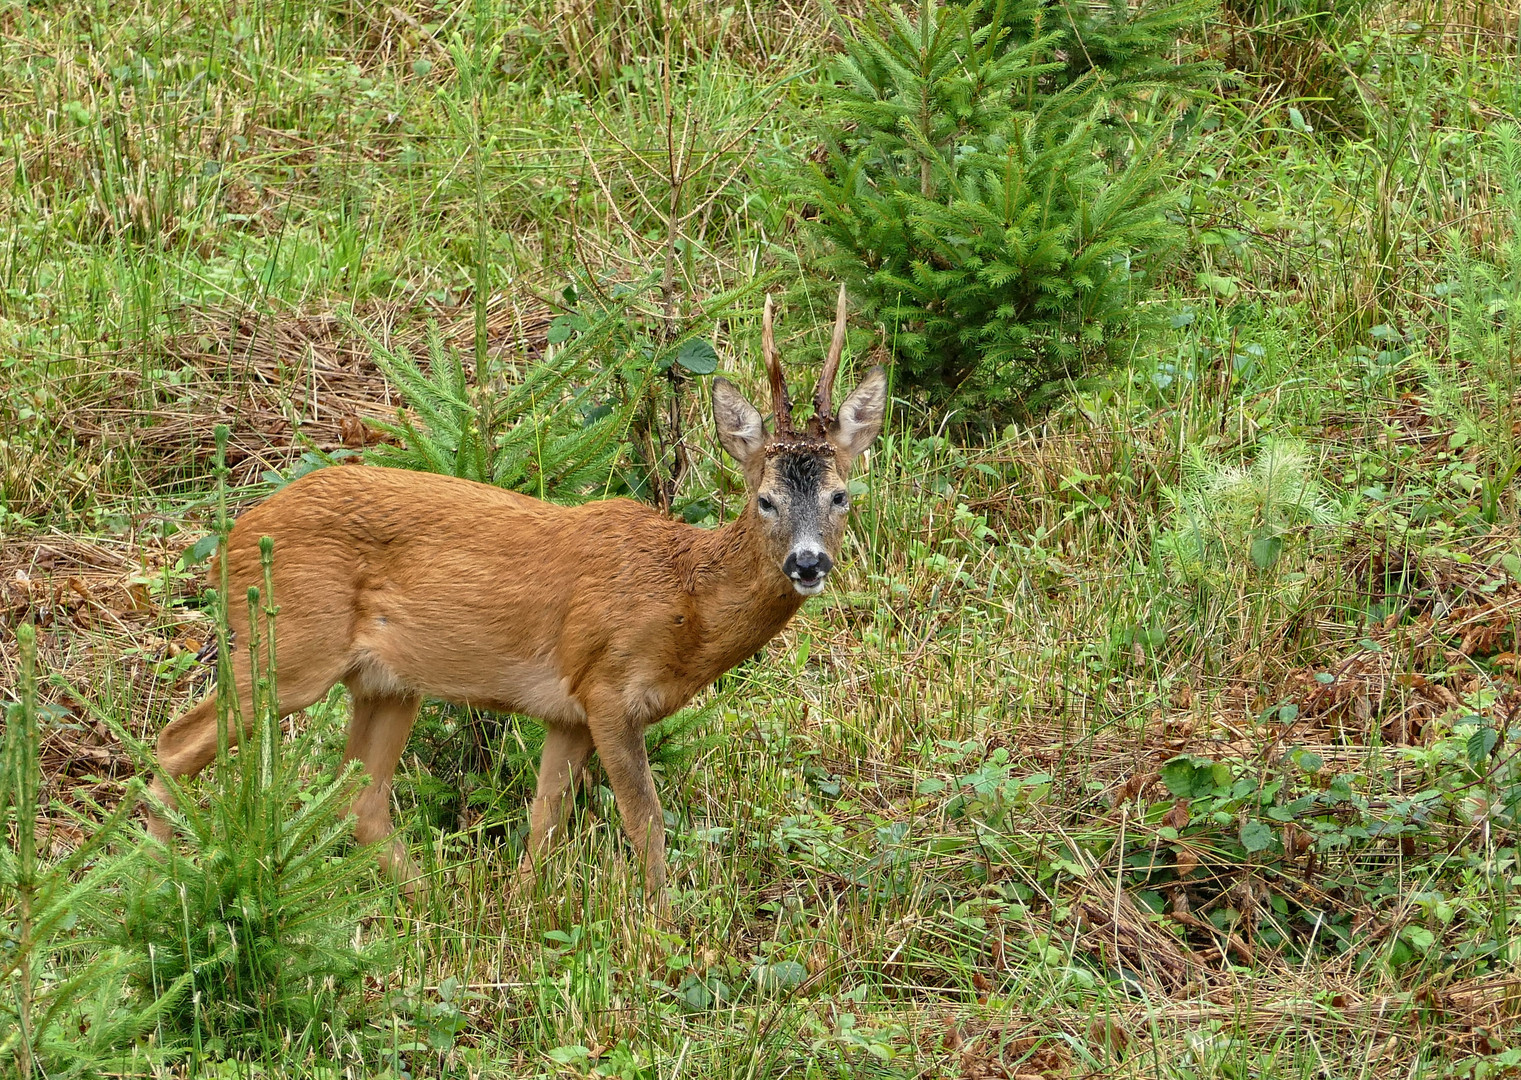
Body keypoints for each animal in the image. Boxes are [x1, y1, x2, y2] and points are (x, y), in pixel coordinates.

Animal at [148, 287, 888, 906]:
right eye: (765, 500)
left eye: (840, 496)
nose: (807, 563)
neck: (687, 600)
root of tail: (232, 542)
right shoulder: (609, 688)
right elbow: (643, 820)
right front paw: (664, 924)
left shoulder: (567, 710)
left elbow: (544, 820)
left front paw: (525, 906)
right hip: (292, 647)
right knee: (175, 742)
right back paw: (148, 886)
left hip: (386, 681)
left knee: (359, 796)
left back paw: (431, 904)